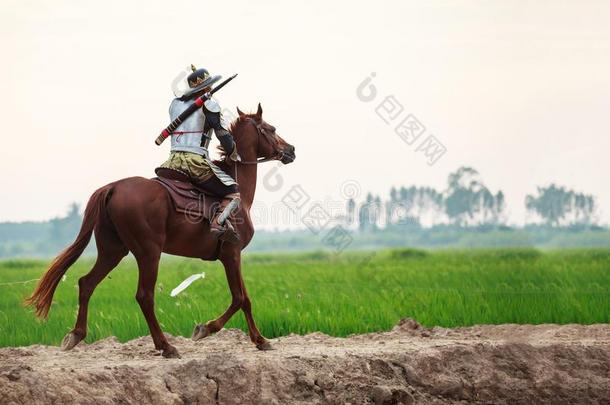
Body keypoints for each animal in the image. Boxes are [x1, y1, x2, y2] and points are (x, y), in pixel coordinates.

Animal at [25, 103, 296, 356]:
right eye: (271, 129)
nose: (291, 150)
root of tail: (112, 187)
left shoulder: (233, 255)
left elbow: (245, 299)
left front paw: (260, 340)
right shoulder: (231, 253)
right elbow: (239, 298)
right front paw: (205, 329)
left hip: (113, 250)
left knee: (86, 283)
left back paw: (76, 335)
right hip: (149, 252)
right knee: (144, 295)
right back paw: (165, 346)